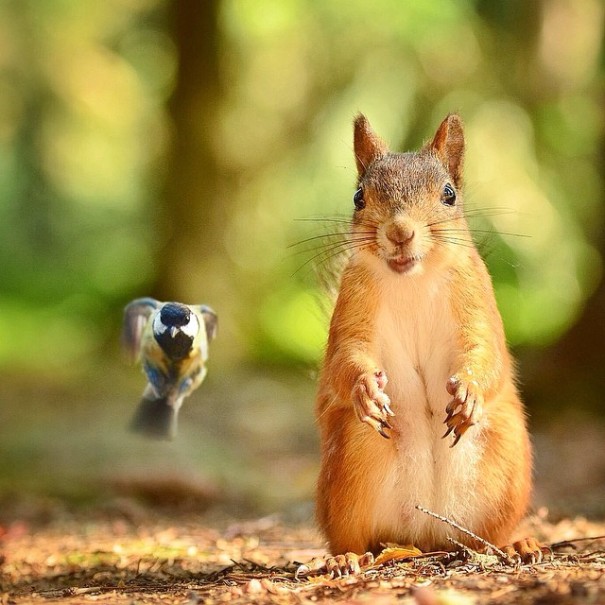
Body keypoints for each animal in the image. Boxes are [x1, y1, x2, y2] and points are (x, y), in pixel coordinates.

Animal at [312, 112, 536, 572]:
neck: (411, 279)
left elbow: (485, 351)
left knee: (487, 538)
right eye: (359, 196)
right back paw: (345, 558)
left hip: (506, 465)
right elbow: (346, 354)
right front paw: (364, 388)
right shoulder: (352, 307)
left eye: (449, 194)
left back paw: (514, 546)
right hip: (350, 461)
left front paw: (469, 391)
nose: (400, 232)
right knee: (351, 537)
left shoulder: (475, 299)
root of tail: (425, 536)